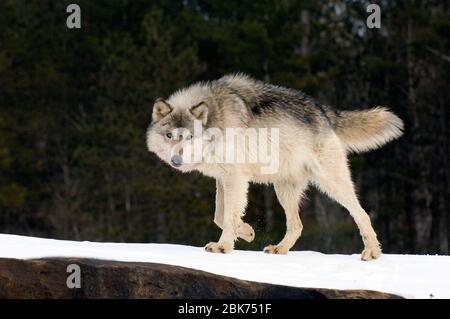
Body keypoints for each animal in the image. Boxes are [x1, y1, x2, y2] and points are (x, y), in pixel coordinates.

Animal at [146, 74, 402, 262]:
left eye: (189, 137)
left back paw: (372, 252)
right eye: (169, 136)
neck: (216, 119)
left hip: (331, 184)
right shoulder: (223, 178)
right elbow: (220, 215)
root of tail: (323, 111)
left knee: (361, 213)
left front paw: (224, 246)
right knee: (297, 225)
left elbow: (227, 216)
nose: (176, 160)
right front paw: (247, 231)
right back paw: (280, 249)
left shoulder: (235, 178)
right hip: (283, 189)